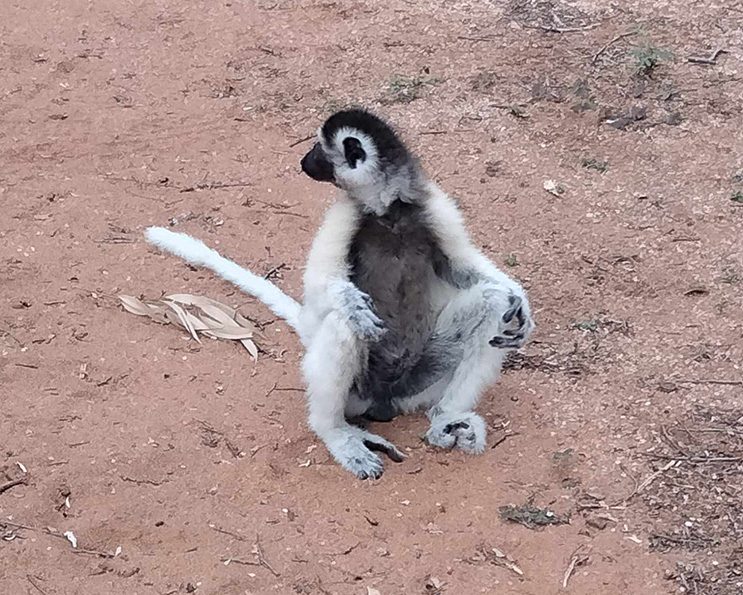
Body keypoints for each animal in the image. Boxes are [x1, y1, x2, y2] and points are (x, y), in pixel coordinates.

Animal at [145, 108, 534, 479]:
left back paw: (448, 416)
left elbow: (464, 268)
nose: (303, 161)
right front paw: (349, 302)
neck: (388, 212)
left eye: (319, 149)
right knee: (345, 323)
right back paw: (335, 430)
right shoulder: (346, 215)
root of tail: (383, 403)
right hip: (358, 392)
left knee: (494, 305)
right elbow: (321, 289)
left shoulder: (434, 210)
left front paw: (522, 304)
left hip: (420, 386)